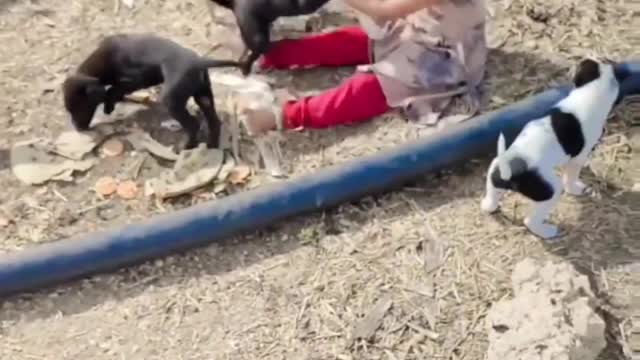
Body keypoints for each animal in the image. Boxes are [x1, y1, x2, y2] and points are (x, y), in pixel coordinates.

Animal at [63, 32, 242, 148]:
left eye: (81, 107)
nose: (77, 128)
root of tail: (199, 62)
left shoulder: (135, 79)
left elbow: (112, 90)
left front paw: (109, 105)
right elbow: (113, 90)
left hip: (172, 101)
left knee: (193, 125)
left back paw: (185, 147)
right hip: (203, 96)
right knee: (214, 122)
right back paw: (212, 145)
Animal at [480, 59, 632, 239]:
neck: (588, 93)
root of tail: (510, 173)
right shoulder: (578, 157)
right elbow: (571, 176)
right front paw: (575, 189)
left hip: (495, 170)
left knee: (492, 195)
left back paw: (488, 205)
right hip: (551, 191)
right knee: (530, 221)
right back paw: (547, 231)